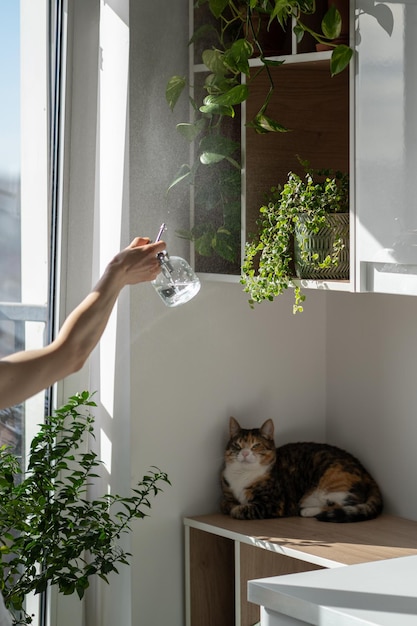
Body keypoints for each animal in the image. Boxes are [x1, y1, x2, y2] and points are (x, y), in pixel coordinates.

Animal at [219, 416, 382, 524]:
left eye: (256, 445)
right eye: (237, 445)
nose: (245, 453)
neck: (242, 475)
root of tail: (366, 471)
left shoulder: (274, 504)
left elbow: (237, 510)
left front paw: (237, 508)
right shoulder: (226, 494)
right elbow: (225, 504)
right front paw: (232, 504)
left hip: (333, 482)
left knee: (345, 504)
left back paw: (308, 511)